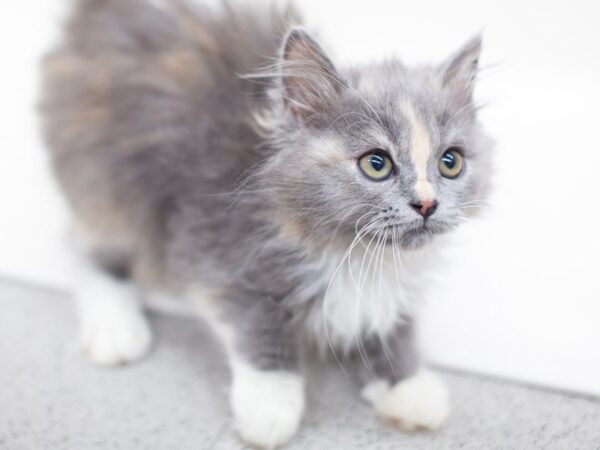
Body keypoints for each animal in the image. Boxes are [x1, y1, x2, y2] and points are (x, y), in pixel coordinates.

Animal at [41, 0, 492, 446]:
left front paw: (406, 385)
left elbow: (388, 325)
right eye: (376, 164)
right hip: (109, 182)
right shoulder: (214, 247)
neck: (358, 252)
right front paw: (271, 404)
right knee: (84, 245)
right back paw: (115, 330)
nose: (427, 203)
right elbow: (259, 323)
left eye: (450, 162)